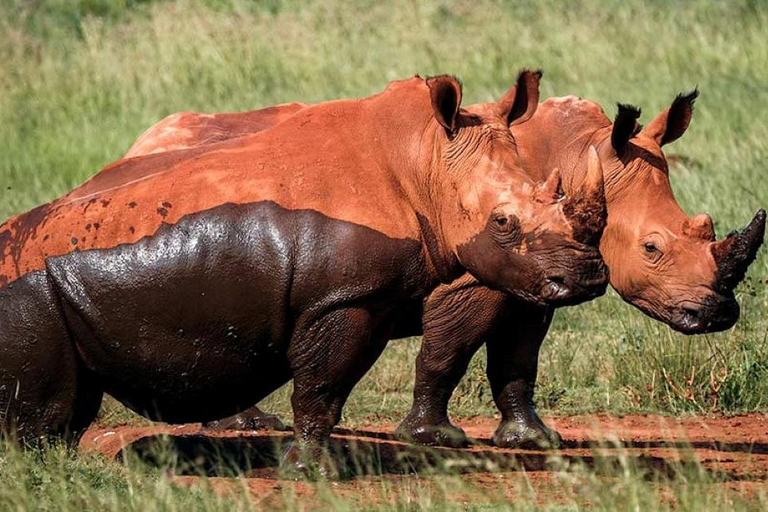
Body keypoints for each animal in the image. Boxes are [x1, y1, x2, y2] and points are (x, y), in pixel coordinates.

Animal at [0, 72, 609, 473]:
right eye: (503, 221)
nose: (587, 279)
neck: (424, 161)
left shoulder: (365, 296)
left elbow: (326, 385)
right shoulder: (341, 298)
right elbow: (322, 387)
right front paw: (309, 470)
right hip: (26, 290)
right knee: (43, 404)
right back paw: (40, 467)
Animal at [123, 86, 765, 448]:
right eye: (652, 249)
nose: (717, 313)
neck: (578, 153)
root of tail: (136, 146)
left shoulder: (538, 278)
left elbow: (518, 360)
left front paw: (534, 441)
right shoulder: (475, 276)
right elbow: (447, 352)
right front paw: (435, 439)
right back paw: (242, 429)